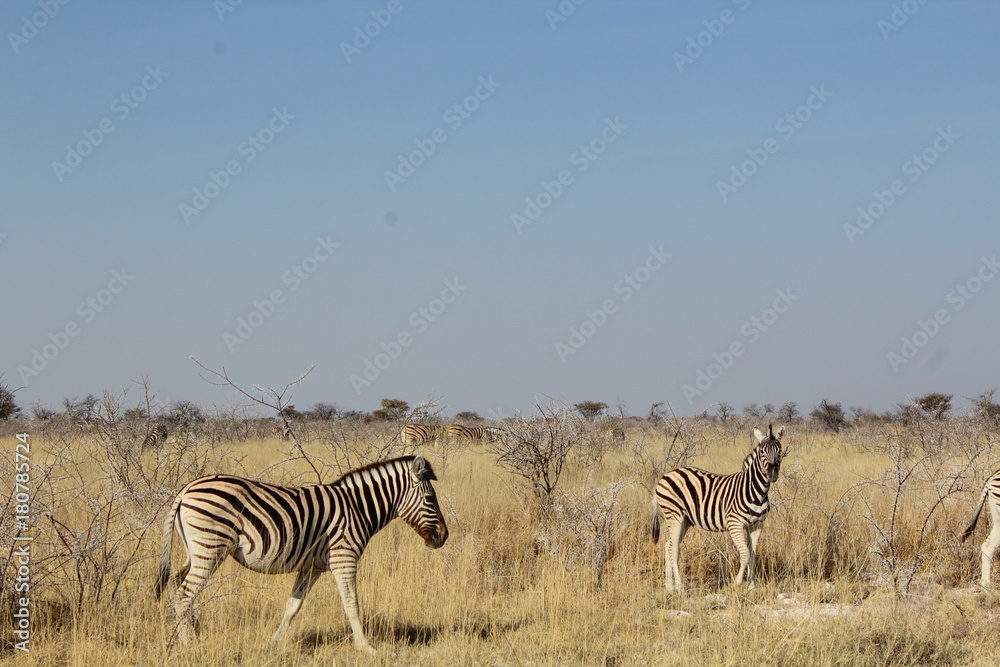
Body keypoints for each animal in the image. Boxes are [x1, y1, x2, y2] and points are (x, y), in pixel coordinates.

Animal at [154, 455, 448, 654]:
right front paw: (366, 648)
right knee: (184, 594)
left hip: (194, 551)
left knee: (176, 584)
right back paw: (188, 645)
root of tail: (186, 489)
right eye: (431, 500)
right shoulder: (344, 558)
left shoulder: (311, 567)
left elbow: (292, 606)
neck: (358, 508)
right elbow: (352, 604)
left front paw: (273, 642)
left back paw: (185, 633)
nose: (444, 537)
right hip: (210, 548)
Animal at [652, 424, 786, 592]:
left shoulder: (757, 525)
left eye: (780, 451)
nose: (772, 474)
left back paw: (670, 586)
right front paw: (737, 583)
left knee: (668, 546)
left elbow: (753, 554)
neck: (756, 490)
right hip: (674, 515)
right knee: (675, 549)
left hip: (686, 520)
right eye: (762, 452)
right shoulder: (734, 523)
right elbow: (745, 553)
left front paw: (751, 586)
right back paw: (680, 587)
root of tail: (666, 475)